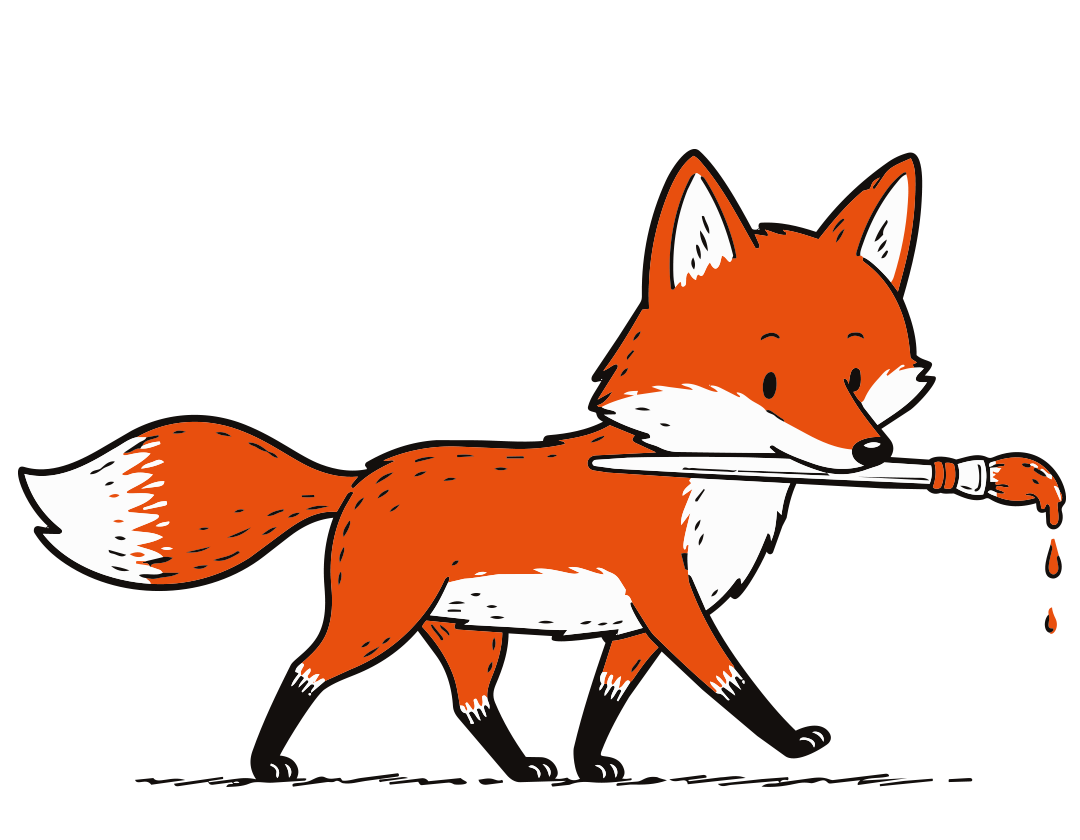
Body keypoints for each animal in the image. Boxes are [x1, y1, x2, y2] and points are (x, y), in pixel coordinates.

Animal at [20, 150, 933, 783]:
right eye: (771, 381)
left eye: (858, 375)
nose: (872, 452)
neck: (697, 482)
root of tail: (356, 476)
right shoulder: (670, 603)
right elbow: (736, 687)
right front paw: (793, 743)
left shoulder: (635, 631)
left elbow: (602, 708)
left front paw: (589, 765)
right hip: (379, 622)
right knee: (304, 669)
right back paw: (267, 763)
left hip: (469, 633)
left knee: (471, 706)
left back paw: (524, 769)